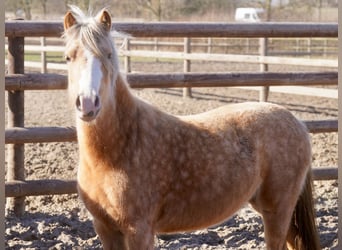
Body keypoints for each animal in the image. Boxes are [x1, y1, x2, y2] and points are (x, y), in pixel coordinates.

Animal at [63, 5, 320, 250]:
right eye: (68, 57)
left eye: (107, 54)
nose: (88, 103)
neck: (120, 147)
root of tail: (298, 123)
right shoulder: (105, 227)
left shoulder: (139, 230)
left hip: (277, 210)